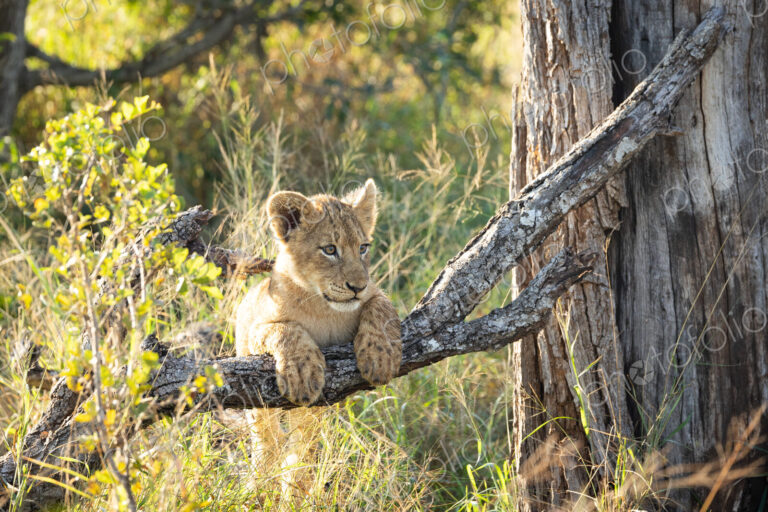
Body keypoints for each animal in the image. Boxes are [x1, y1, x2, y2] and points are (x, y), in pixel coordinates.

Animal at [235, 179, 402, 497]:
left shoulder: (375, 292)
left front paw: (380, 357)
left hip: (315, 412)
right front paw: (302, 373)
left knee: (302, 451)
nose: (357, 286)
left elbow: (382, 307)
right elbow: (286, 329)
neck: (324, 308)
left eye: (363, 248)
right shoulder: (257, 330)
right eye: (329, 249)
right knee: (267, 442)